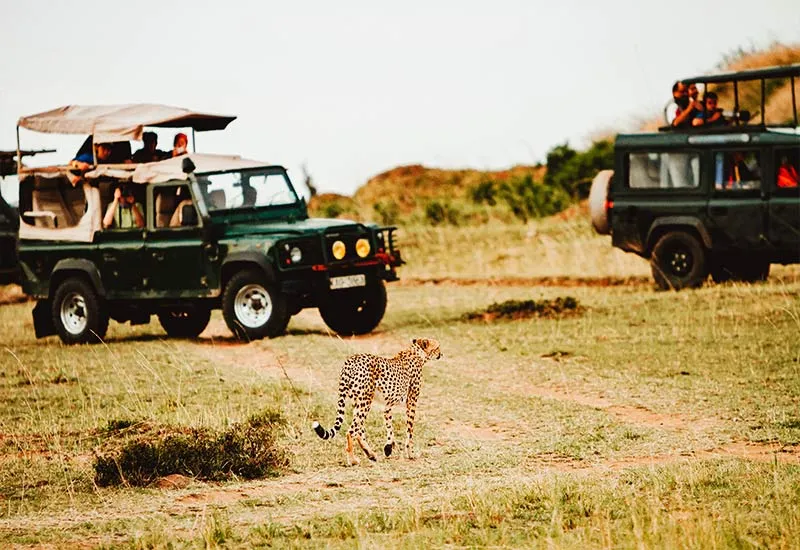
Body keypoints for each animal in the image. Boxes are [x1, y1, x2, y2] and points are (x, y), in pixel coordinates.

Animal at [310, 340, 440, 466]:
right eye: (437, 347)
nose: (441, 354)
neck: (417, 353)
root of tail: (350, 361)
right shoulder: (411, 401)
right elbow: (410, 430)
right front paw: (411, 453)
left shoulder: (387, 406)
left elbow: (389, 426)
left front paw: (388, 448)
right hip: (365, 401)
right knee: (351, 432)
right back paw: (352, 460)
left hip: (358, 402)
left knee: (359, 430)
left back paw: (370, 454)